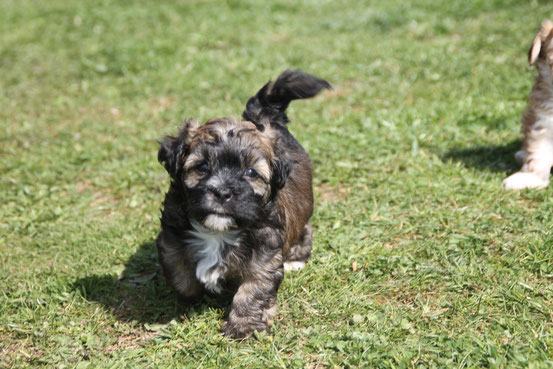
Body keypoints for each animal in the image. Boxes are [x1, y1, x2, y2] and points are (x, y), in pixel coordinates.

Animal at [153, 70, 330, 338]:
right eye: (202, 166)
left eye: (250, 172)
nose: (222, 192)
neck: (218, 232)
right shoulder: (171, 236)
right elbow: (179, 272)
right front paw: (192, 295)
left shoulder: (265, 256)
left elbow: (252, 291)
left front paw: (243, 325)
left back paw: (295, 260)